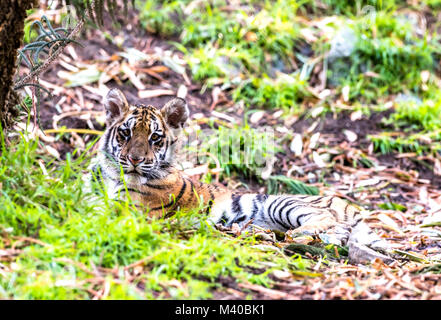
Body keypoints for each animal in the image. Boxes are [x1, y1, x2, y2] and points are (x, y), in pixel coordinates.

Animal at [88, 89, 392, 264]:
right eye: (125, 132)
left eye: (155, 137)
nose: (135, 160)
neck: (114, 174)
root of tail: (348, 204)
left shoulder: (130, 209)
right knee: (340, 234)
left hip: (283, 203)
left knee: (325, 221)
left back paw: (291, 234)